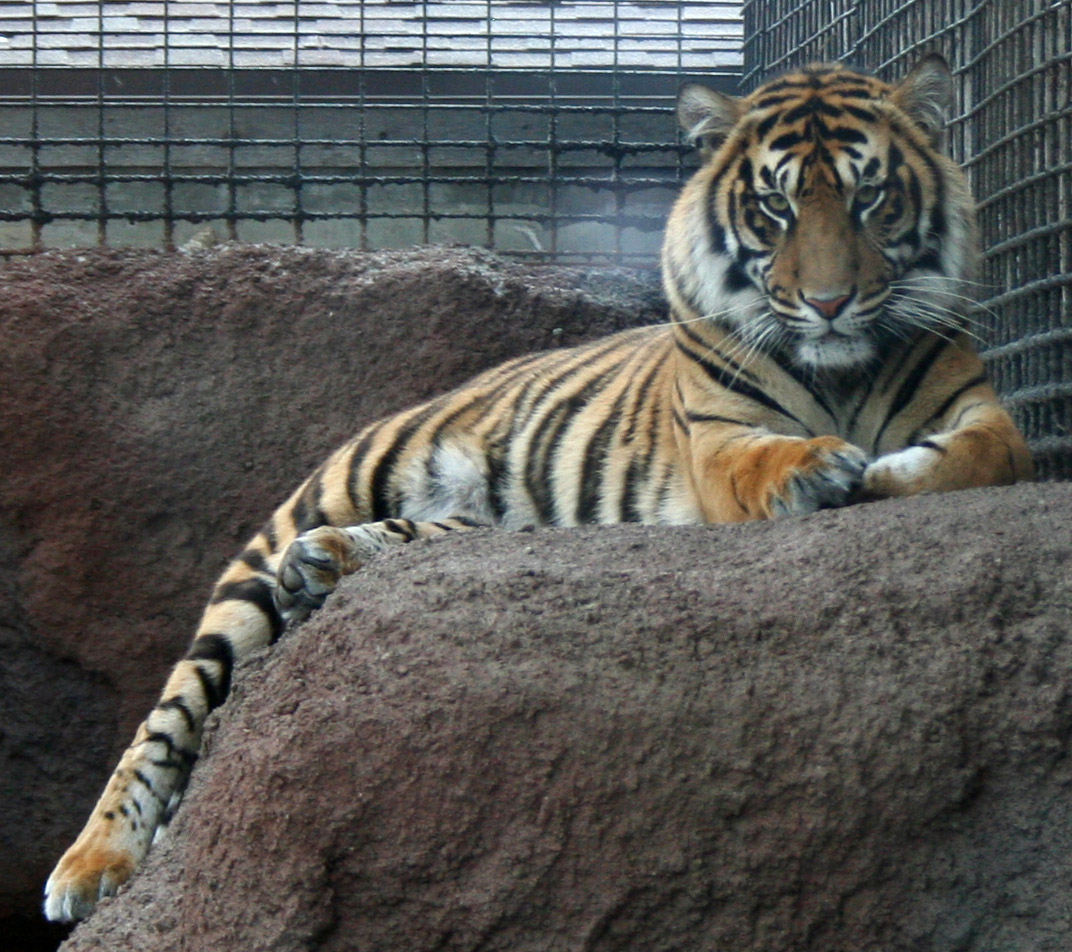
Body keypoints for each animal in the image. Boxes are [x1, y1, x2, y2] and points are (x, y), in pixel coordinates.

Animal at [41, 53, 1029, 921]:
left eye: (870, 197)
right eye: (775, 206)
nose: (828, 305)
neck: (843, 369)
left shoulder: (984, 411)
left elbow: (984, 455)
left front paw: (890, 469)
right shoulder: (715, 440)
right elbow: (762, 459)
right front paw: (822, 466)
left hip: (475, 523)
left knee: (425, 541)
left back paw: (325, 567)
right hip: (300, 520)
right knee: (169, 712)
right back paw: (89, 865)